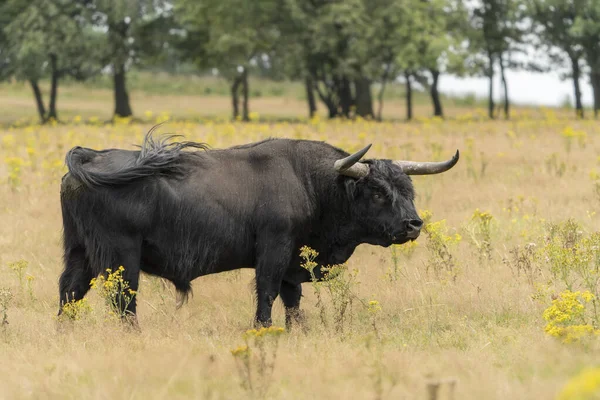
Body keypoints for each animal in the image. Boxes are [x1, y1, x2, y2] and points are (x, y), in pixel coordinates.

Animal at [58, 133, 460, 326]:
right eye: (377, 191)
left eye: (408, 189)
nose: (414, 224)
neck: (309, 182)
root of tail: (91, 157)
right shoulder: (274, 251)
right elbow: (267, 294)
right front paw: (264, 330)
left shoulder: (294, 264)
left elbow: (293, 301)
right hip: (120, 258)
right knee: (123, 301)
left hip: (80, 254)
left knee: (69, 293)